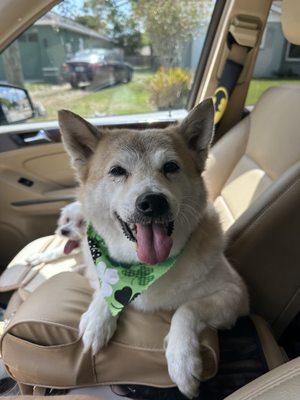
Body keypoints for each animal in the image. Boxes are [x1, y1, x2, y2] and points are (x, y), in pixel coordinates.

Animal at [58, 98, 248, 398]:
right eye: (117, 171)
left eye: (170, 166)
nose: (152, 202)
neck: (142, 270)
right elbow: (102, 288)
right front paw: (98, 318)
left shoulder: (235, 294)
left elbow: (187, 309)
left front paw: (182, 358)